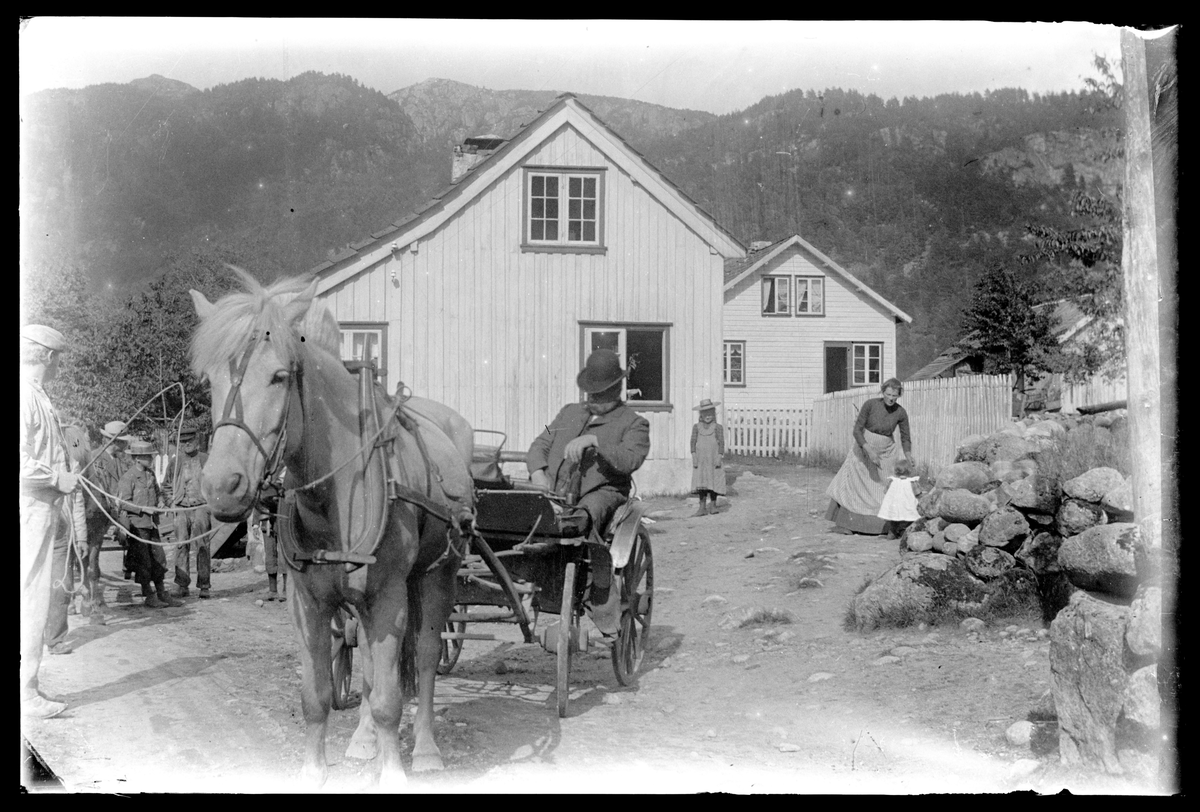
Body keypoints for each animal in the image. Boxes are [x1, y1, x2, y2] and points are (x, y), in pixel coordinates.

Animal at [188, 271, 472, 786]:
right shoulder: (308, 605)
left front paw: (393, 773)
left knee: (424, 657)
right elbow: (318, 696)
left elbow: (389, 699)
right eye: (210, 380)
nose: (221, 485)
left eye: (280, 376)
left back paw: (425, 748)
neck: (337, 495)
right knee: (366, 667)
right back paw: (362, 741)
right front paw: (314, 770)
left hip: (437, 575)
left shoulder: (390, 597)